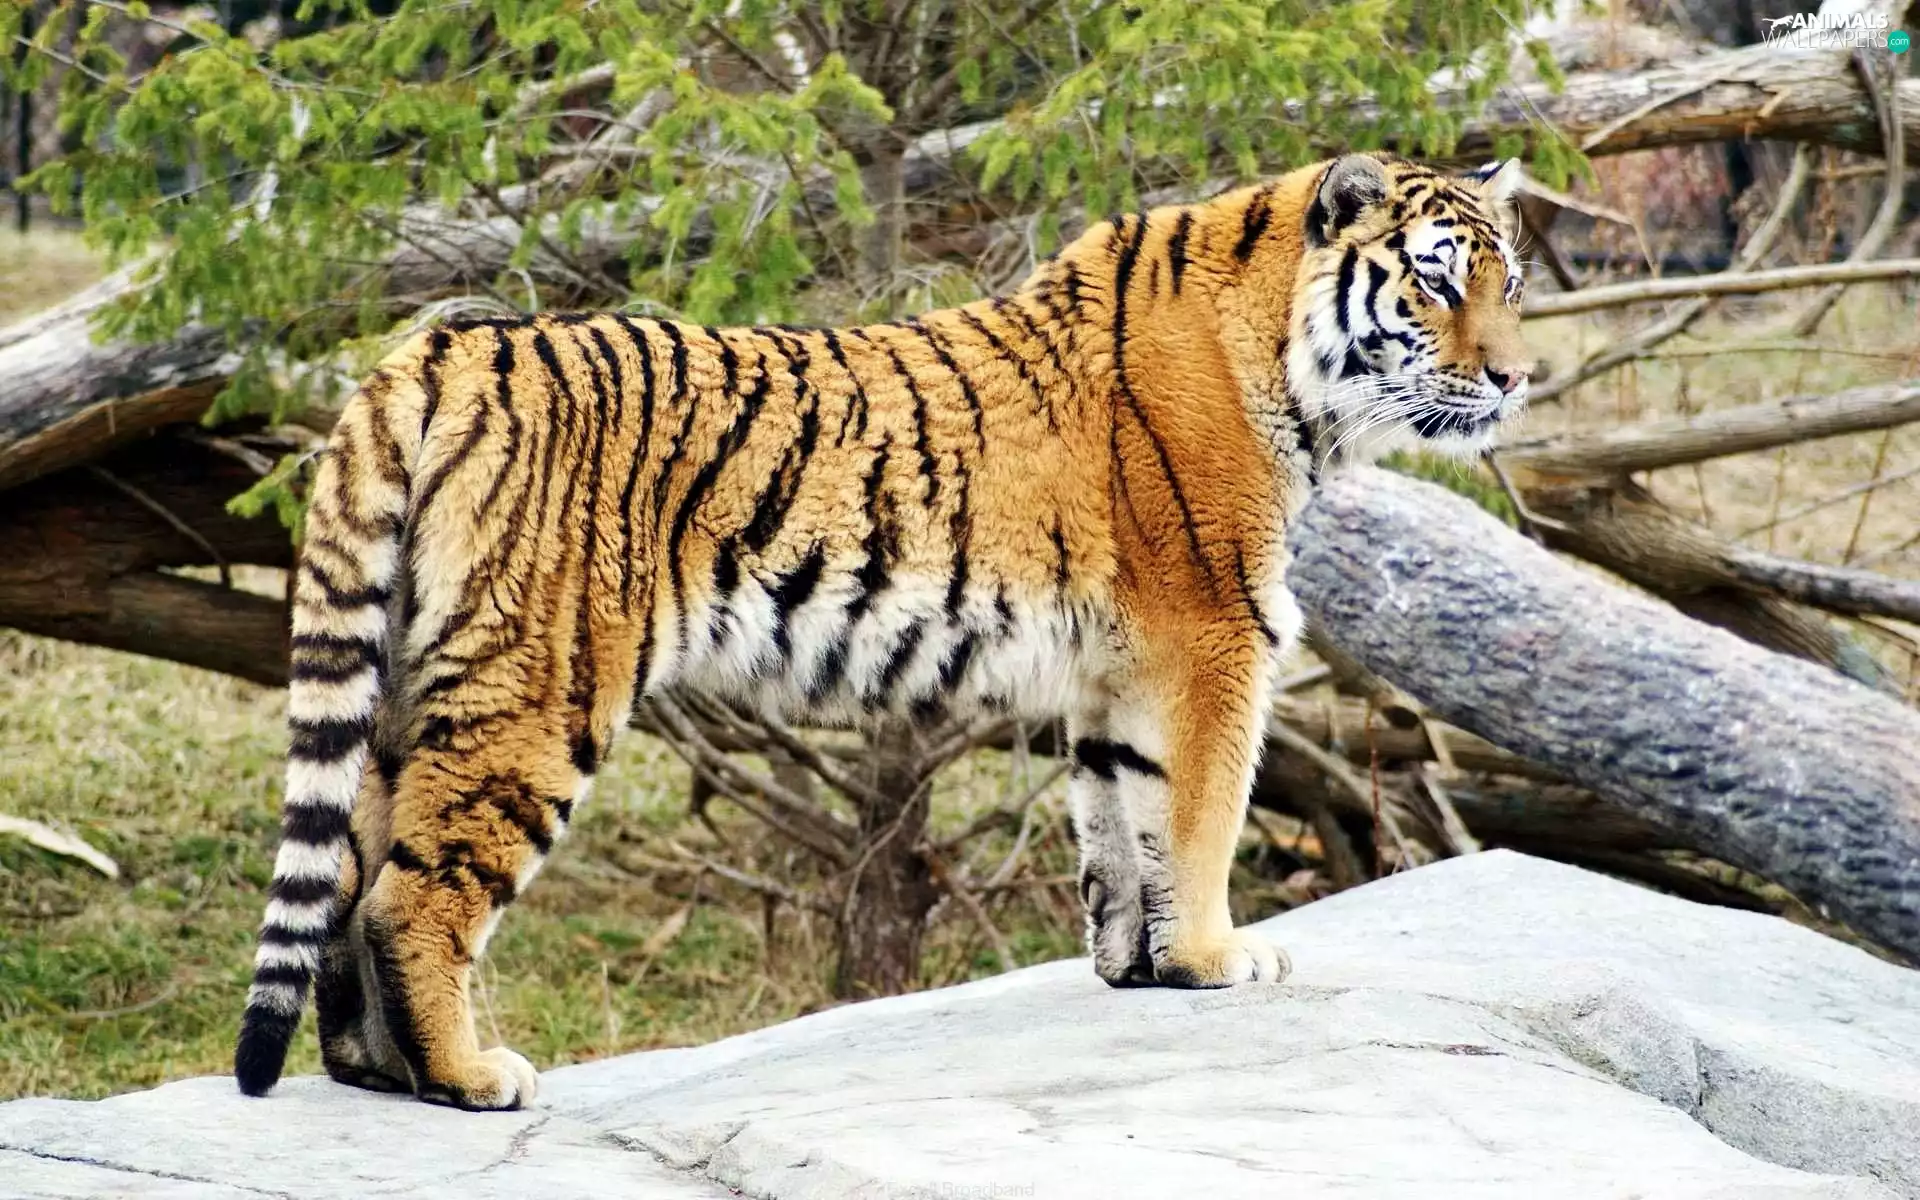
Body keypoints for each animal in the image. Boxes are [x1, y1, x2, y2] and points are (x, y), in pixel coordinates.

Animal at [234, 152, 1533, 1110]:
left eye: (1510, 285)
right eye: (1434, 284)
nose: (1517, 380)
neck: (1292, 374)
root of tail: (442, 347)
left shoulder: (1117, 671)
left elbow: (1123, 823)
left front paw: (1143, 969)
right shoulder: (1217, 637)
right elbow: (1202, 817)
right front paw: (1220, 958)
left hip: (408, 680)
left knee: (349, 877)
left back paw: (376, 1073)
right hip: (537, 688)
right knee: (413, 894)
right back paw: (469, 1076)